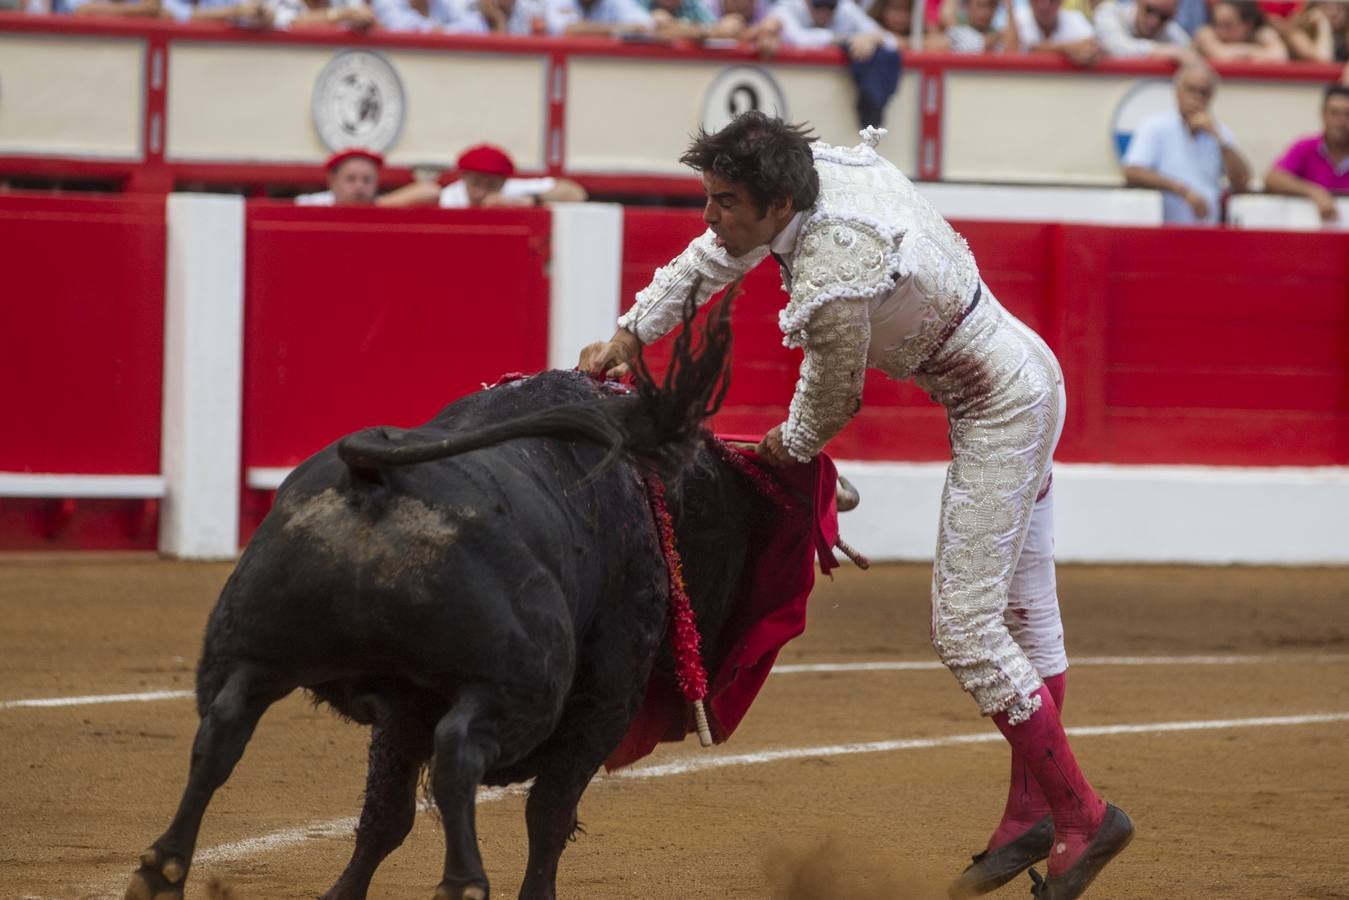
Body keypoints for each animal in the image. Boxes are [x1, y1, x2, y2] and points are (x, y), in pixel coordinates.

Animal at [126, 296, 804, 900]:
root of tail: (374, 479)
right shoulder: (603, 702)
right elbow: (548, 815)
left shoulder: (401, 709)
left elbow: (386, 817)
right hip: (523, 687)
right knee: (460, 753)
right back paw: (463, 883)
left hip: (251, 648)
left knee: (223, 727)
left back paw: (160, 872)